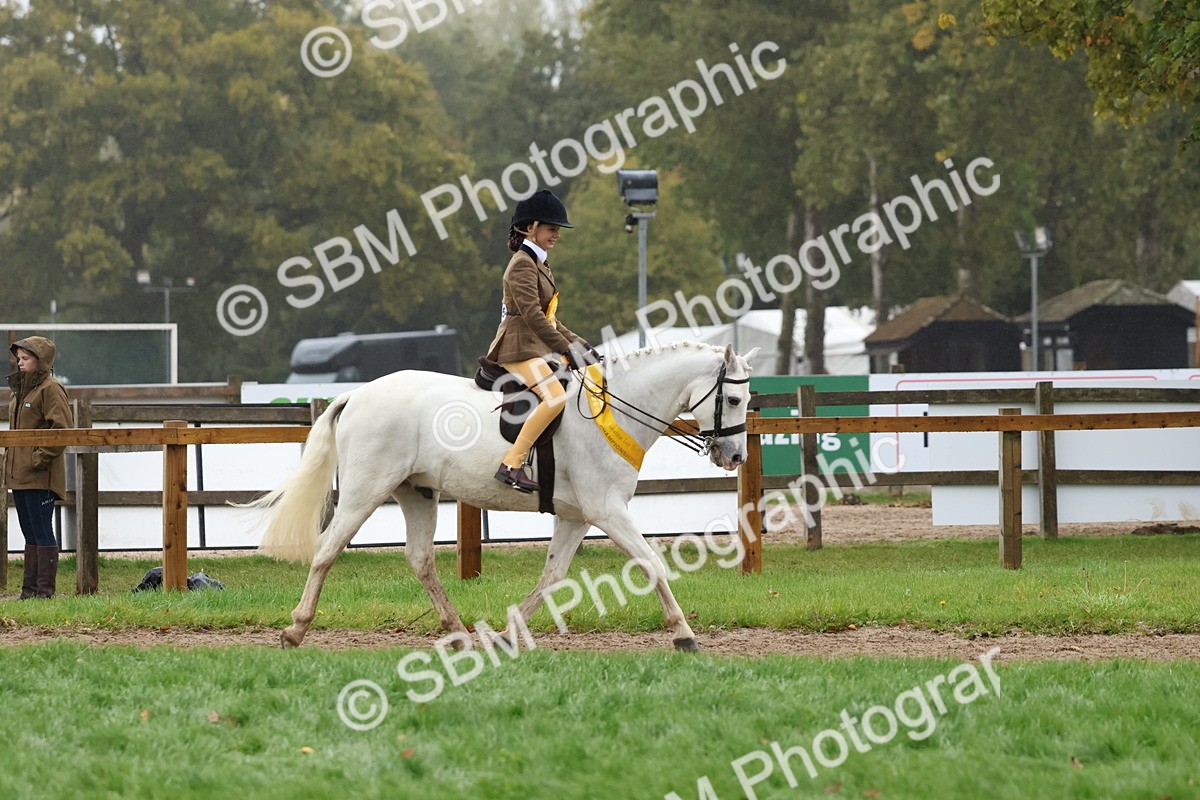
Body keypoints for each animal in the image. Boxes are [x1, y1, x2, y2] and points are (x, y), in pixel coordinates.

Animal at [250, 341, 758, 651]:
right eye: (734, 400)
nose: (734, 456)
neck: (612, 411)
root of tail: (356, 394)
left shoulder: (577, 517)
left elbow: (552, 577)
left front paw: (507, 635)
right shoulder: (608, 510)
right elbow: (652, 563)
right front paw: (684, 634)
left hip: (417, 493)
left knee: (420, 559)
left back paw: (458, 632)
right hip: (365, 491)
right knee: (327, 549)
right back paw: (295, 629)